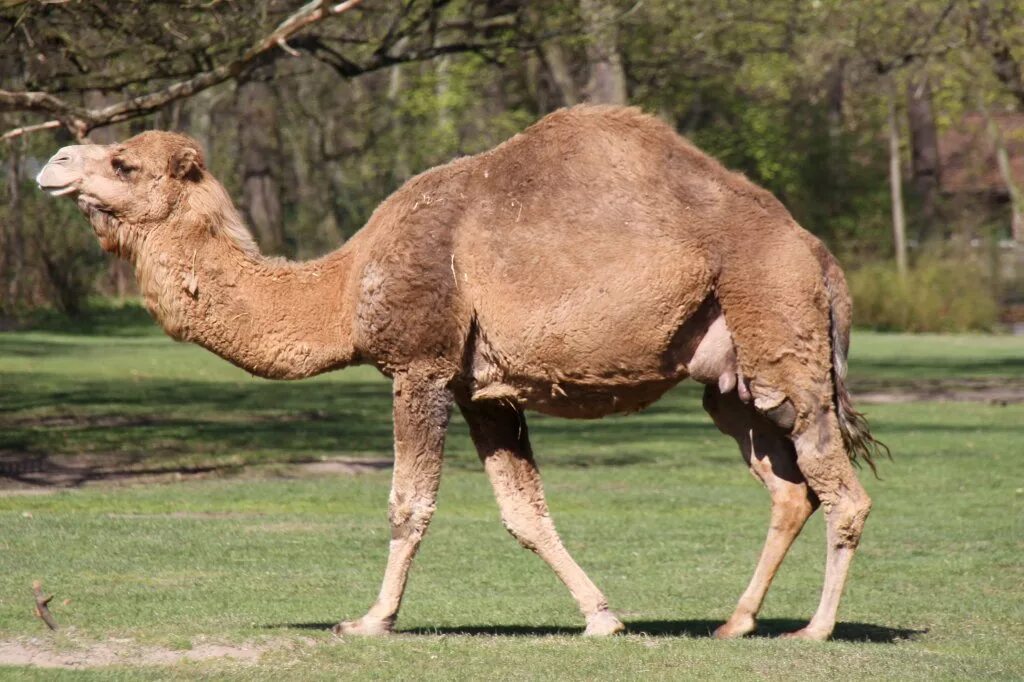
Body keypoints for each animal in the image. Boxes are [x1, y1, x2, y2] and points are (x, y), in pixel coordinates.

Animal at [36, 104, 884, 638]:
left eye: (123, 161)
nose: (50, 163)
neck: (344, 289)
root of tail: (819, 254)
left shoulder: (419, 365)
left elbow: (408, 505)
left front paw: (369, 621)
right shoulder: (484, 392)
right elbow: (525, 513)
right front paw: (603, 618)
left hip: (780, 328)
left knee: (839, 486)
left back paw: (814, 631)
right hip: (729, 379)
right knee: (788, 486)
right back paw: (735, 623)